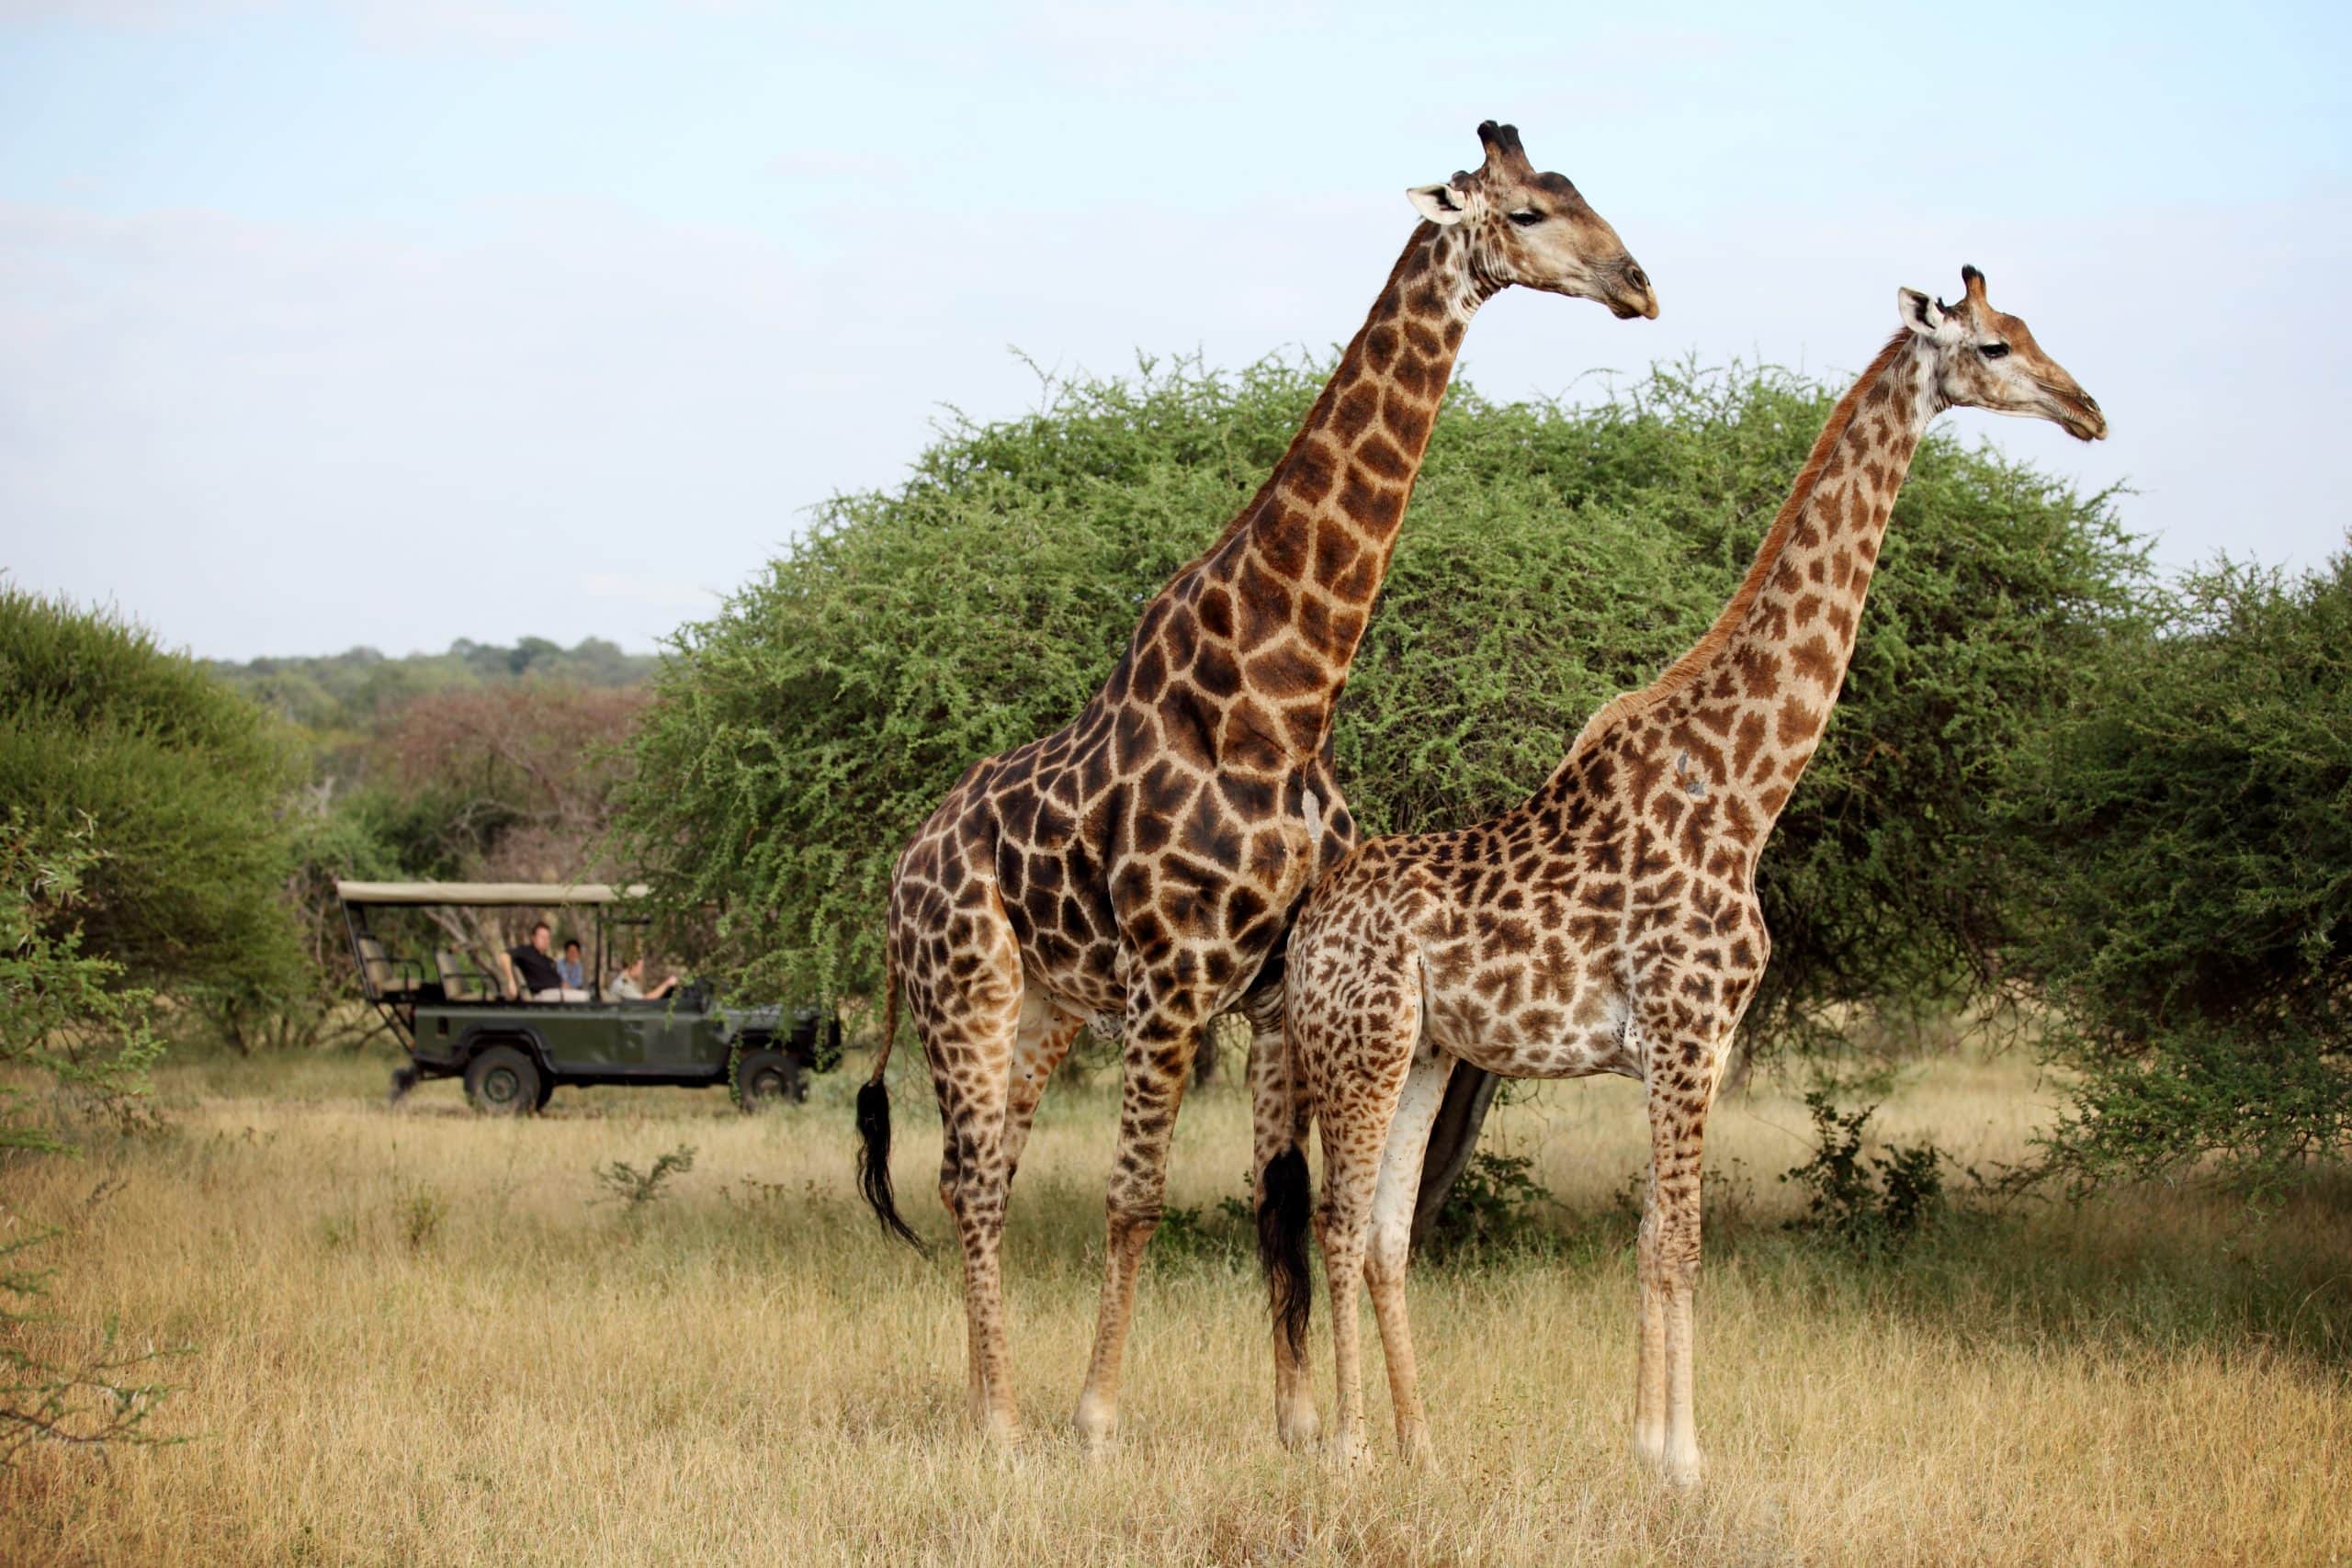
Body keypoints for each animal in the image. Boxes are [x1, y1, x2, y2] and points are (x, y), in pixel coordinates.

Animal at [860, 119, 1656, 1448]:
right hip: (965, 986)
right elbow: (1136, 1196)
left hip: (1044, 1004)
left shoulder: (1279, 989)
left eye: (1582, 191)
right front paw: (1099, 1420)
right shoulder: (1177, 979)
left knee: (987, 1170)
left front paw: (1298, 1427)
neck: (1280, 698)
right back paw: (1007, 1423)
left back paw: (991, 1401)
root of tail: (900, 874)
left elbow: (1281, 1196)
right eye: (1531, 214)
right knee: (969, 1175)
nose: (1639, 285)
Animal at [1270, 263, 2117, 1476]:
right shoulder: (1681, 1030)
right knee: (1338, 1222)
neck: (1745, 791)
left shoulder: (1704, 1045)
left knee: (1386, 1231)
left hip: (1430, 1049)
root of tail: (1306, 923)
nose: (2085, 409)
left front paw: (1649, 1446)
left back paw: (1423, 1448)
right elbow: (1677, 1243)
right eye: (1995, 345)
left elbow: (1655, 1238)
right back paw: (1347, 1450)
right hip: (1363, 1040)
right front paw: (1677, 1461)